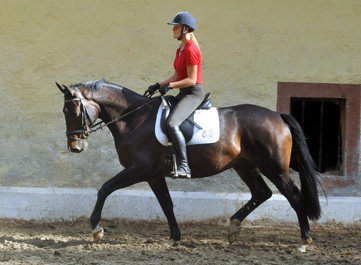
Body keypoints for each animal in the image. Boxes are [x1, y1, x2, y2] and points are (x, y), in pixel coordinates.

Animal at [54, 78, 320, 250]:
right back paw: (233, 228)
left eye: (74, 111)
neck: (134, 119)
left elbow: (105, 189)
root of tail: (278, 117)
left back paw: (304, 241)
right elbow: (167, 204)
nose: (75, 147)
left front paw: (96, 230)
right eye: (64, 111)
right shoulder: (153, 175)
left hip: (275, 168)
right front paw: (174, 237)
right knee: (261, 193)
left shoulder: (139, 170)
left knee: (294, 197)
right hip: (245, 165)